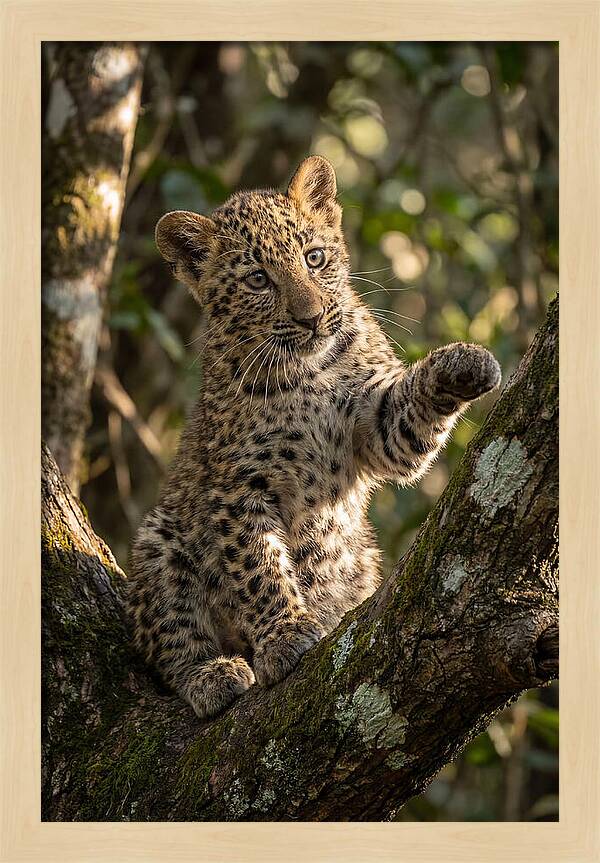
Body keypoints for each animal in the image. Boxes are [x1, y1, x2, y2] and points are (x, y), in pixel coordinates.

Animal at [128, 155, 501, 719]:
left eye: (315, 257)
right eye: (258, 279)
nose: (311, 317)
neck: (310, 373)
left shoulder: (375, 428)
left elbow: (406, 420)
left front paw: (463, 362)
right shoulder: (239, 488)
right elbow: (258, 565)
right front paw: (285, 634)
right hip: (160, 539)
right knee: (170, 642)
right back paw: (212, 674)